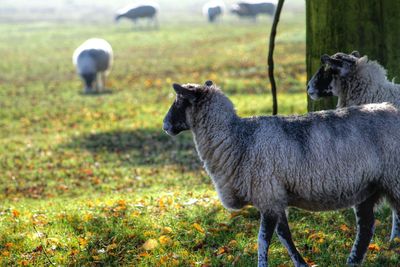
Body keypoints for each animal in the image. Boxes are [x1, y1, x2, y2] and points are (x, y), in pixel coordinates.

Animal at [162, 80, 400, 266]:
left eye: (179, 100)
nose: (165, 125)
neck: (237, 138)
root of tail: (392, 108)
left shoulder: (267, 195)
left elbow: (262, 240)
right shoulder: (275, 197)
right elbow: (284, 235)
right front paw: (301, 263)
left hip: (393, 178)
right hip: (369, 187)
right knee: (366, 227)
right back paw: (353, 261)